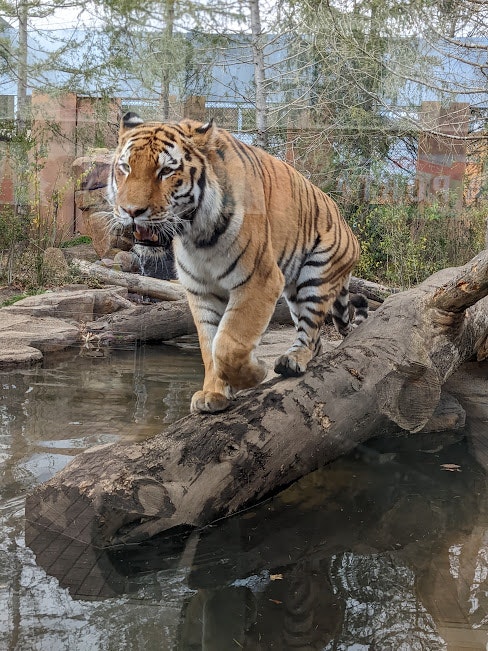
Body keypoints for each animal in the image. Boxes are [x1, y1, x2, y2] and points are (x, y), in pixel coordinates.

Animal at [109, 112, 368, 414]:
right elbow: (209, 346)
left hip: (316, 276)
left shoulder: (260, 281)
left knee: (311, 331)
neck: (196, 236)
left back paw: (292, 360)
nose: (131, 211)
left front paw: (255, 373)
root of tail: (346, 224)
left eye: (165, 171)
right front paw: (214, 393)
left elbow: (228, 344)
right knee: (316, 342)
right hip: (294, 290)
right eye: (126, 167)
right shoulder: (201, 291)